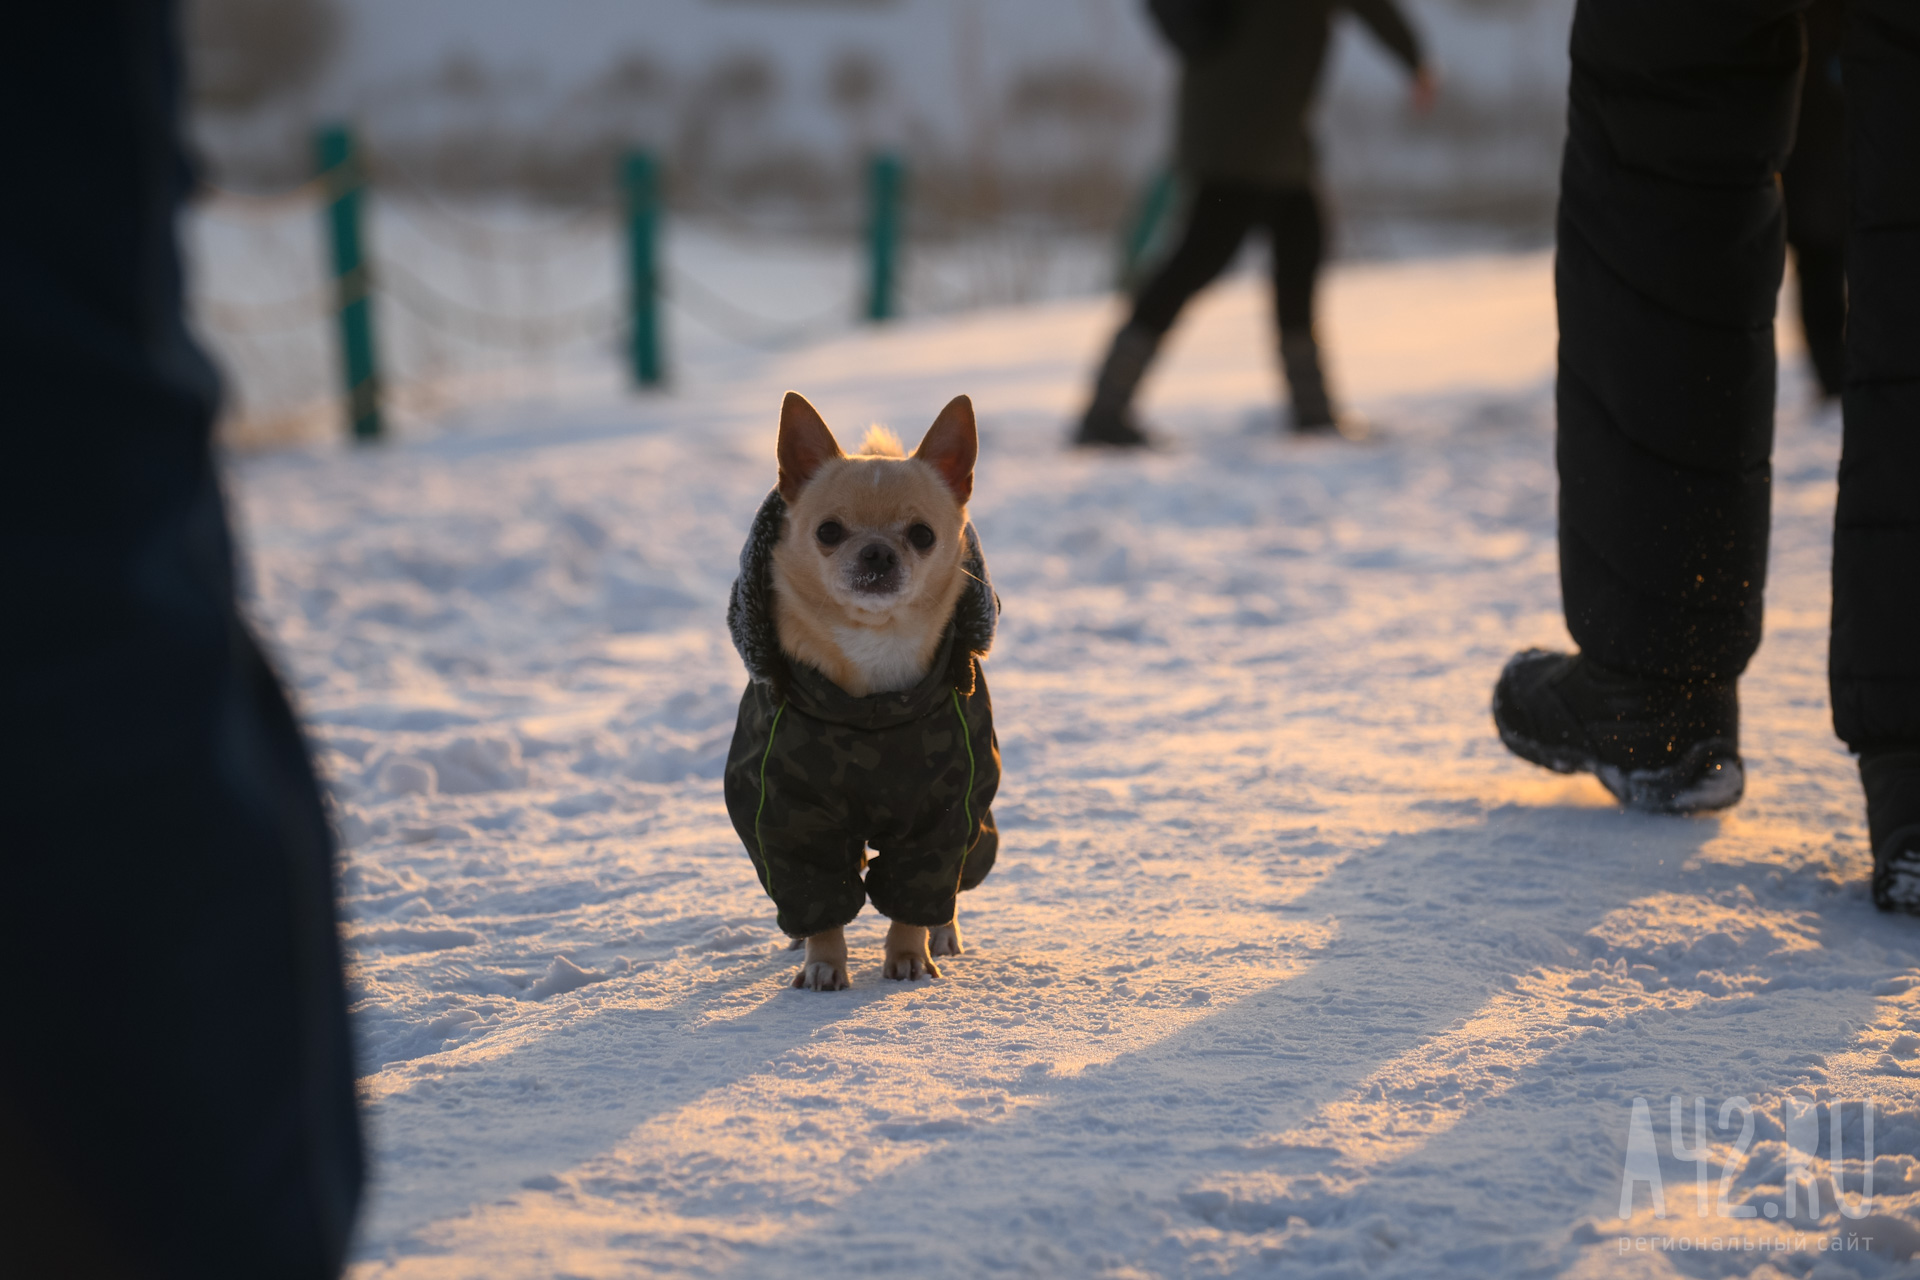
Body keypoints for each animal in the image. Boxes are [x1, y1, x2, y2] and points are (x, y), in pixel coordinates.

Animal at [714, 391, 998, 990]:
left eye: (922, 535)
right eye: (828, 531)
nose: (877, 553)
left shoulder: (941, 812)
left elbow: (917, 890)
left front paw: (909, 955)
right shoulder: (789, 816)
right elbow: (816, 893)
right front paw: (823, 963)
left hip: (979, 823)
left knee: (955, 881)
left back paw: (943, 934)